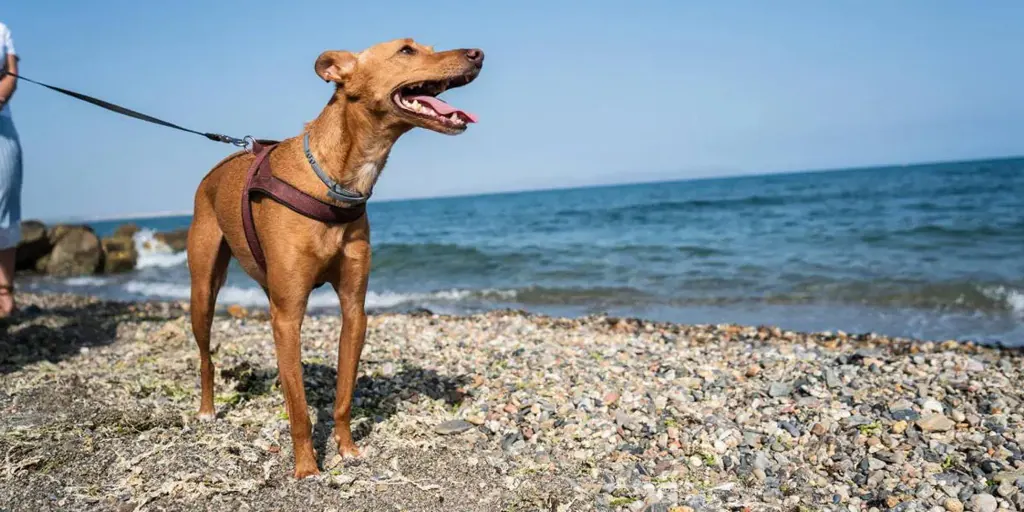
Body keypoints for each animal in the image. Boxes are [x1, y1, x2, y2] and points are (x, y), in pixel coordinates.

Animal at [187, 37, 483, 477]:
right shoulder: (288, 314)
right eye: (407, 50)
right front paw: (307, 467)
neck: (338, 178)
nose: (478, 54)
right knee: (206, 357)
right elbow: (299, 410)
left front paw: (347, 448)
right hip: (203, 289)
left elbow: (343, 393)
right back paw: (207, 410)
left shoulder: (353, 308)